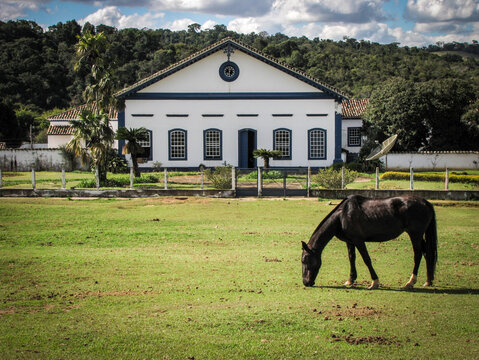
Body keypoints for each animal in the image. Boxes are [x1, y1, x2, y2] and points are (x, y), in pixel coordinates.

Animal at [304, 194, 438, 290]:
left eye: (305, 261)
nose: (306, 282)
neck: (342, 215)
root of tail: (425, 202)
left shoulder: (358, 240)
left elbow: (366, 259)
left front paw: (375, 282)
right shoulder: (350, 241)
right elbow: (351, 258)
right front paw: (350, 279)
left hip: (415, 234)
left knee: (418, 255)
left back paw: (410, 282)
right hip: (419, 236)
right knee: (427, 253)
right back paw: (428, 281)